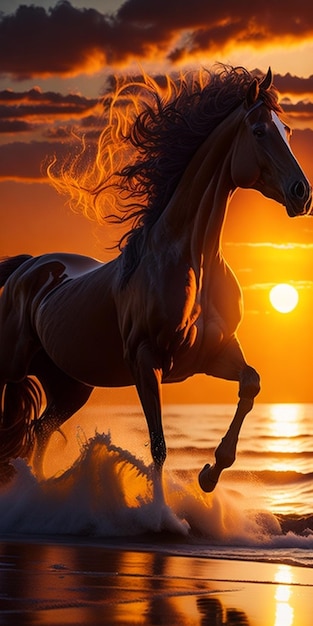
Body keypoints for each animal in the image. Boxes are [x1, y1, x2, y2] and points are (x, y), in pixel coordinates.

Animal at [0, 64, 310, 498]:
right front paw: (160, 508)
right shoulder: (146, 361)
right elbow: (159, 446)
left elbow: (251, 383)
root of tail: (28, 266)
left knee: (39, 431)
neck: (191, 262)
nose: (303, 193)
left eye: (288, 130)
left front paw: (209, 474)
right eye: (260, 130)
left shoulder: (213, 355)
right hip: (12, 365)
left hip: (71, 385)